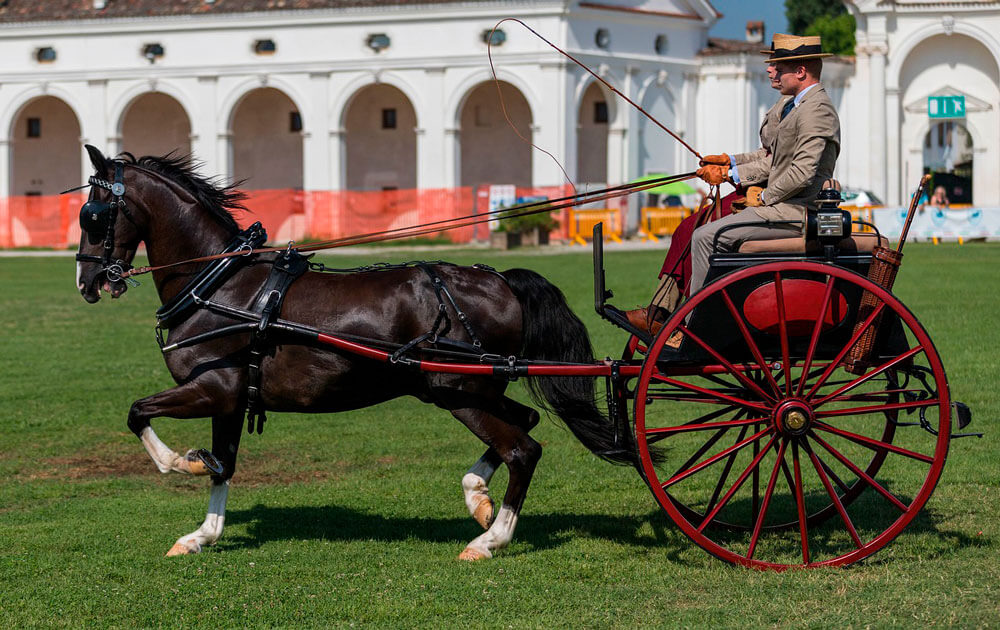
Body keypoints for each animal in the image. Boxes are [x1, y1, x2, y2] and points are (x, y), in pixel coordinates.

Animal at [76, 146, 640, 560]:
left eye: (94, 215)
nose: (86, 281)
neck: (219, 285)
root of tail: (499, 279)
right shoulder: (231, 398)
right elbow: (224, 466)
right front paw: (202, 535)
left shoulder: (210, 388)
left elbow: (140, 415)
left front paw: (182, 463)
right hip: (474, 390)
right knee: (524, 423)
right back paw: (477, 497)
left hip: (459, 394)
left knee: (523, 449)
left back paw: (490, 539)